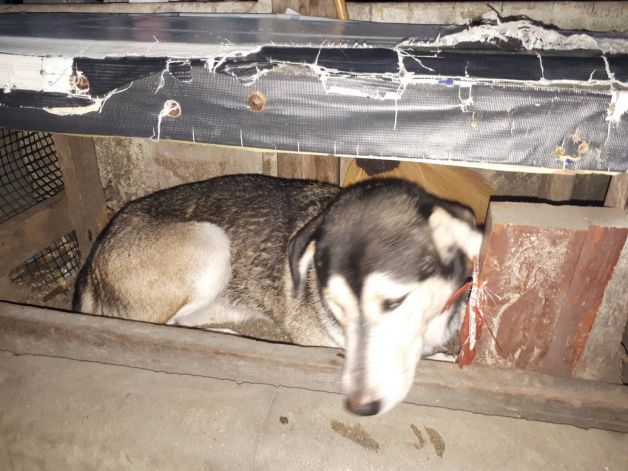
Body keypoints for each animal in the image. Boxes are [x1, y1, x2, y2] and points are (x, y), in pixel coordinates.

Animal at [73, 174, 482, 415]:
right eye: (336, 307)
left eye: (395, 302)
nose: (361, 407)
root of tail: (93, 257)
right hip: (211, 242)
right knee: (157, 325)